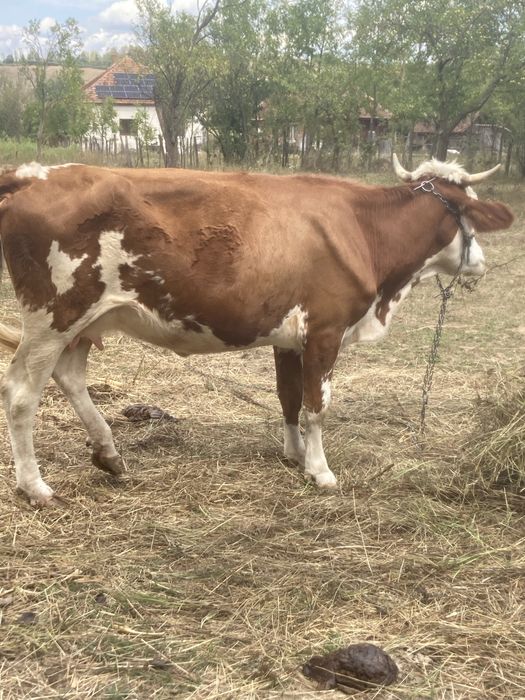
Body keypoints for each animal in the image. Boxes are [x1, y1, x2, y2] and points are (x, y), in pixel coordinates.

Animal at [0, 156, 514, 506]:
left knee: (69, 376)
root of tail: (33, 173)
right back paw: (36, 485)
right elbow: (316, 405)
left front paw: (294, 454)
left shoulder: (290, 337)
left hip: (83, 320)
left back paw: (108, 454)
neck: (365, 230)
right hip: (52, 316)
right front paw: (320, 470)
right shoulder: (326, 330)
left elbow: (288, 397)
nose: (482, 264)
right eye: (470, 216)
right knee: (22, 392)